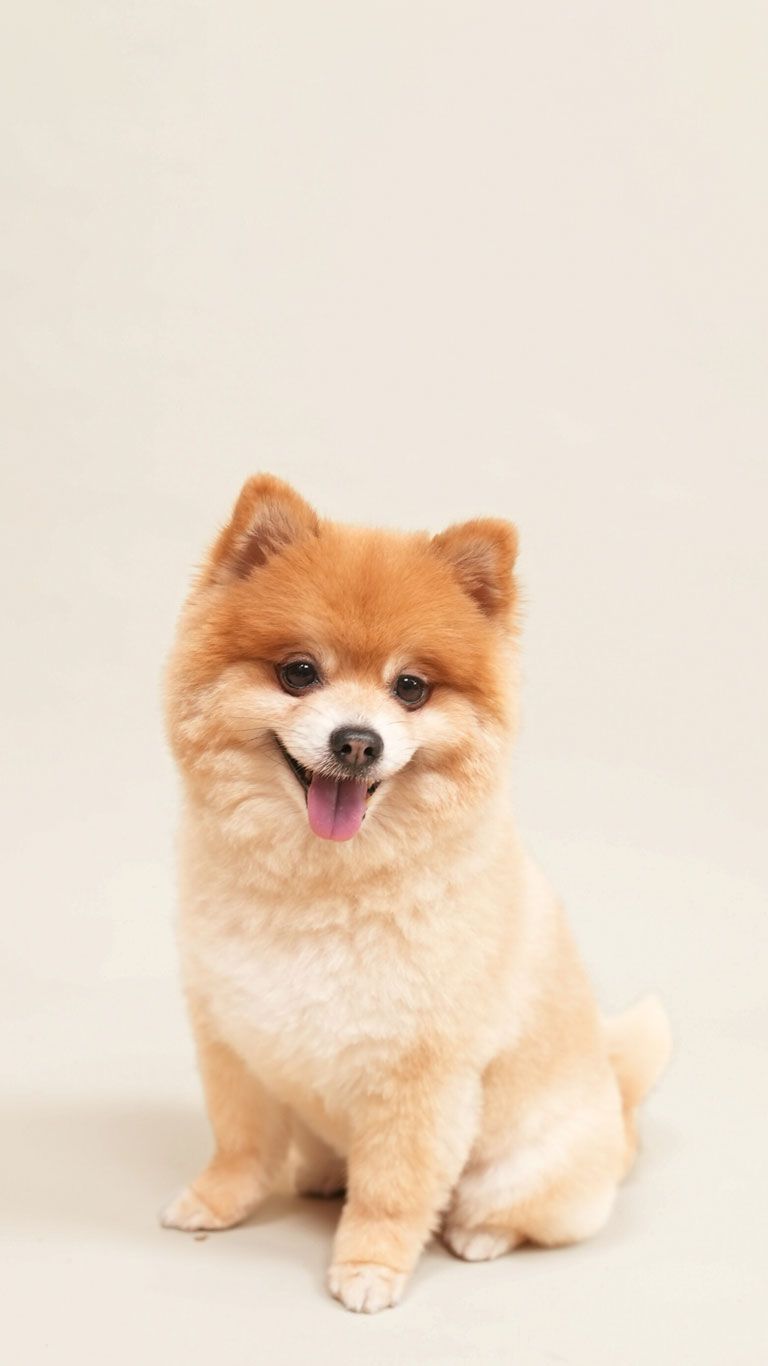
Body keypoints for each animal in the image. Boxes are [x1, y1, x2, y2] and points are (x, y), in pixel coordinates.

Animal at [161, 474, 671, 1313]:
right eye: (299, 673)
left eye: (410, 688)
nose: (356, 740)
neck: (321, 885)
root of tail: (619, 1116)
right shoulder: (233, 1039)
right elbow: (240, 1144)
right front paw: (215, 1202)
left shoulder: (420, 1079)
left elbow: (394, 1189)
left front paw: (369, 1265)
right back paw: (320, 1177)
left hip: (527, 1168)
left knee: (526, 1215)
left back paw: (482, 1235)